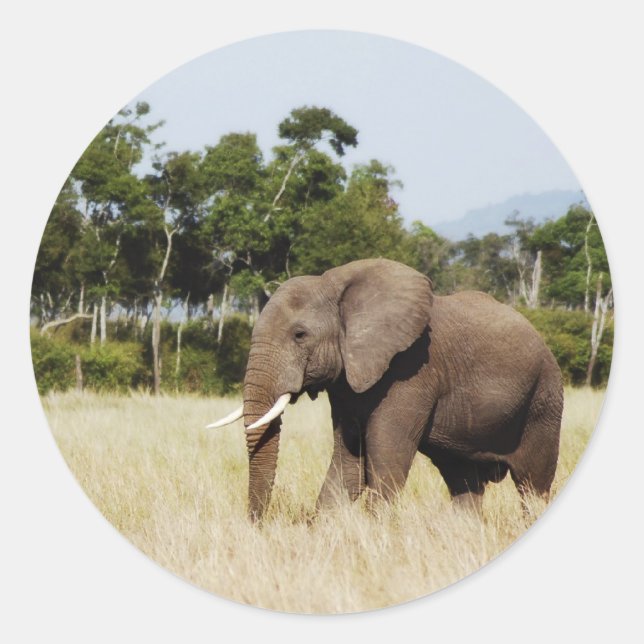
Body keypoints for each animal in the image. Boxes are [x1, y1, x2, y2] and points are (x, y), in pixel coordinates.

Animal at [208, 258, 563, 521]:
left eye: (299, 335)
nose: (257, 525)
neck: (335, 286)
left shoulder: (411, 371)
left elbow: (385, 463)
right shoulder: (347, 382)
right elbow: (349, 464)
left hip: (543, 399)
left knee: (533, 485)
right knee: (464, 483)